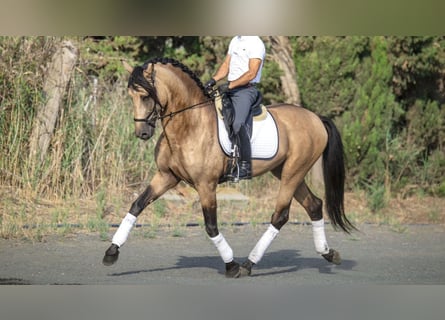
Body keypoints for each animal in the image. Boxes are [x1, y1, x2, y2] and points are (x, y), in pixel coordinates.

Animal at [102, 57, 356, 278]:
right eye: (131, 96)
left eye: (145, 96)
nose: (142, 133)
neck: (188, 125)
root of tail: (315, 118)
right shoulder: (166, 176)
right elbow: (136, 205)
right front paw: (111, 252)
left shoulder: (206, 185)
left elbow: (211, 226)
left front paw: (231, 265)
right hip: (286, 171)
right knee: (313, 205)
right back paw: (328, 253)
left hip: (294, 172)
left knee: (280, 216)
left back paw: (248, 264)